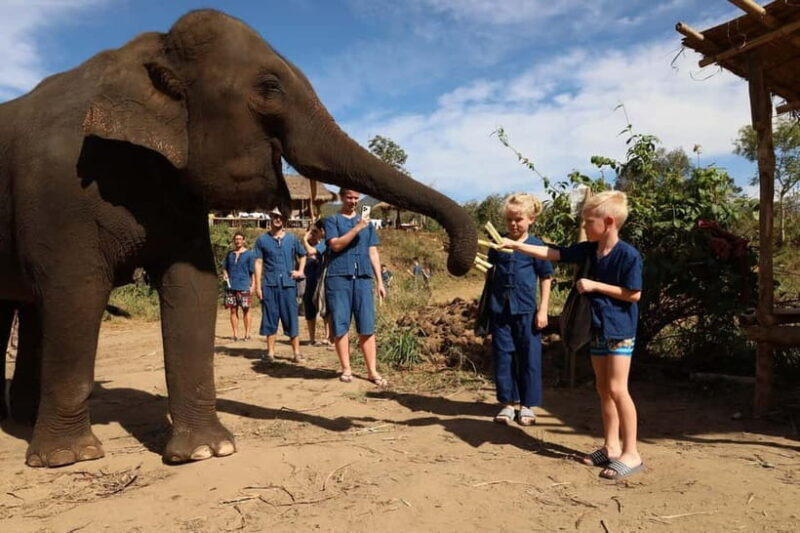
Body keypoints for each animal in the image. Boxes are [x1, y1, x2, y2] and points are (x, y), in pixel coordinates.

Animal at [0, 9, 477, 467]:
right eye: (270, 87)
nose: (457, 261)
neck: (145, 52)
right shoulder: (61, 184)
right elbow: (76, 293)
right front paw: (68, 457)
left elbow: (192, 285)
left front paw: (206, 451)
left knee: (30, 308)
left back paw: (22, 418)